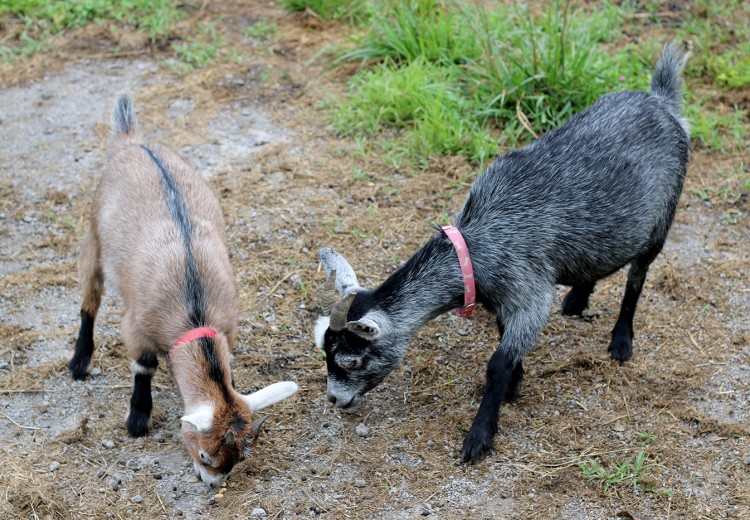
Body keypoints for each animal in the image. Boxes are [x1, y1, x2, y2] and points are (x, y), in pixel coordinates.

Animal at [70, 95, 298, 490]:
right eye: (205, 455)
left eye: (239, 458)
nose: (213, 483)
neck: (194, 310)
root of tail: (131, 142)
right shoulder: (137, 326)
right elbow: (142, 366)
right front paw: (137, 420)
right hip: (94, 240)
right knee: (89, 302)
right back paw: (79, 362)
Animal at [314, 42, 692, 462]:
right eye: (325, 352)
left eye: (351, 359)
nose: (334, 399)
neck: (475, 246)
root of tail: (661, 100)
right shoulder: (503, 297)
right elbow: (502, 340)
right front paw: (516, 382)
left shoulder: (530, 294)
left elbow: (497, 363)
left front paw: (479, 435)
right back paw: (578, 298)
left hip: (662, 217)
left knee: (637, 275)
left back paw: (621, 340)